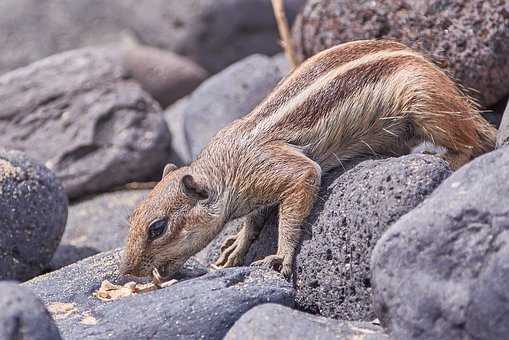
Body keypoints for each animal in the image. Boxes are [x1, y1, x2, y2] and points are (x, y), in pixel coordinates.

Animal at [120, 39, 496, 278]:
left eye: (157, 228)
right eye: (133, 216)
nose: (126, 270)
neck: (225, 166)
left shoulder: (284, 169)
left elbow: (297, 198)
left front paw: (281, 255)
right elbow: (255, 218)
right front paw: (236, 245)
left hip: (425, 102)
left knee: (472, 142)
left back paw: (448, 159)